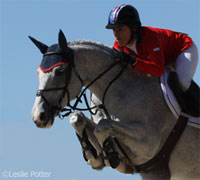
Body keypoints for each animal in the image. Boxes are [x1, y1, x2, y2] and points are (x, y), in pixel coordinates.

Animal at [30, 30, 199, 180]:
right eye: (38, 73)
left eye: (59, 71)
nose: (38, 116)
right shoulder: (150, 170)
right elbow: (77, 119)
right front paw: (95, 157)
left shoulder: (147, 143)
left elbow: (102, 126)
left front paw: (112, 156)